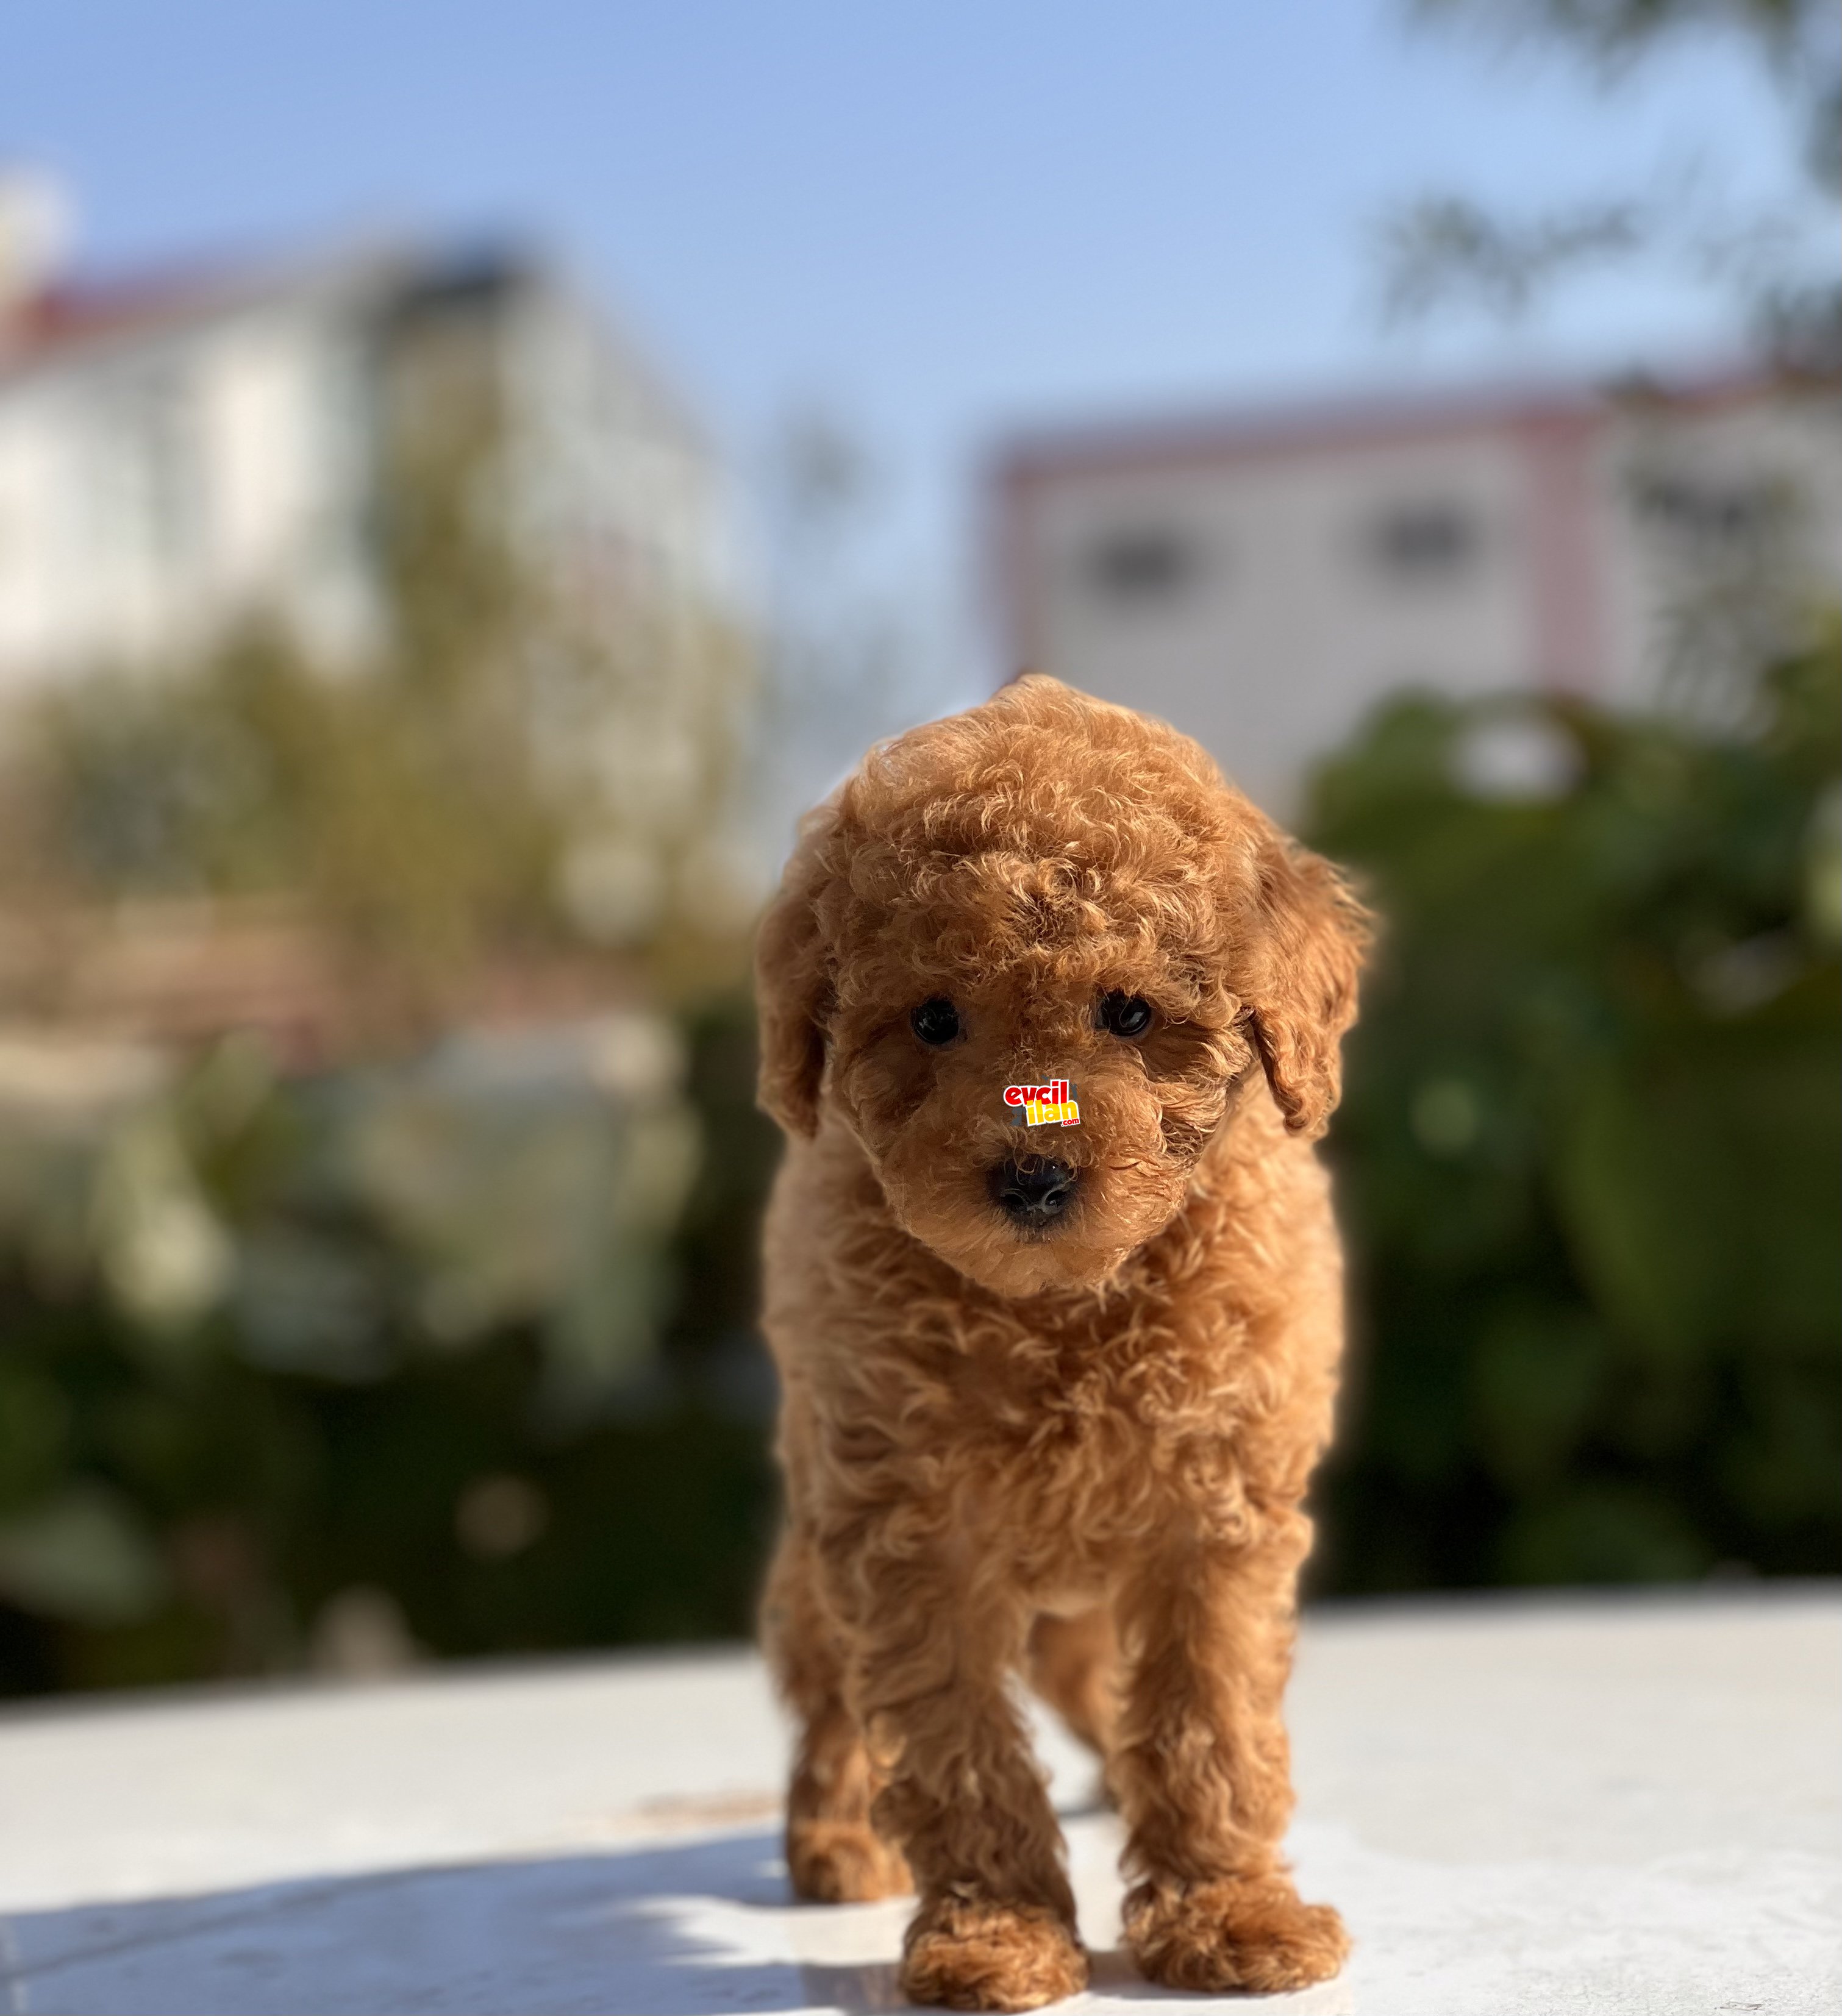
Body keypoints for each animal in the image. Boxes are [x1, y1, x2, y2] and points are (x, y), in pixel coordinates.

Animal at [749, 681, 1362, 2016]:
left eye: (1128, 1012)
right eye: (933, 1019)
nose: (1031, 1175)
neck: (1059, 1308)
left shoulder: (1214, 1517)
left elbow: (1208, 1717)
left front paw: (1227, 1914)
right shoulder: (905, 1533)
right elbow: (957, 1745)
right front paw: (996, 1935)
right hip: (814, 1546)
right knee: (829, 1708)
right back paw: (838, 1839)